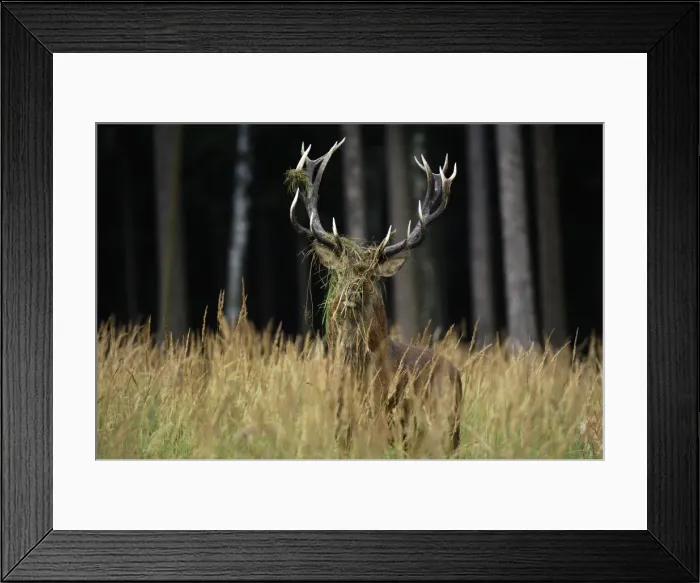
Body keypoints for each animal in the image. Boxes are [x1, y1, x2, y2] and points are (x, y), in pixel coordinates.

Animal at [285, 137, 463, 455]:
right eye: (342, 272)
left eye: (370, 276)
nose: (352, 292)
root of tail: (459, 374)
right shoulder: (339, 429)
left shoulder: (380, 424)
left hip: (447, 428)